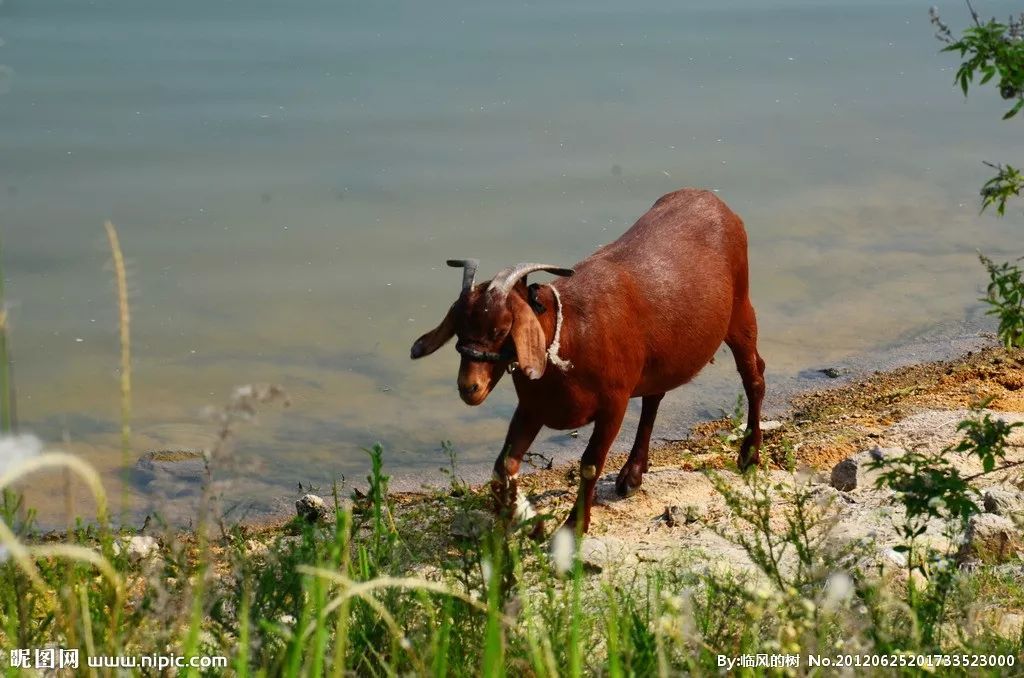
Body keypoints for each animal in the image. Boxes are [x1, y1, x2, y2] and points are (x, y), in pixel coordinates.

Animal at [411, 188, 765, 532]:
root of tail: (711, 198)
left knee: (754, 376)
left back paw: (749, 455)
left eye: (500, 329)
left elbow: (589, 465)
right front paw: (518, 519)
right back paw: (632, 475)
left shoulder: (613, 405)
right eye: (459, 328)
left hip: (740, 310)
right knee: (654, 397)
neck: (570, 337)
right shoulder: (532, 407)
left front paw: (574, 526)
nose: (468, 387)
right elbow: (503, 466)